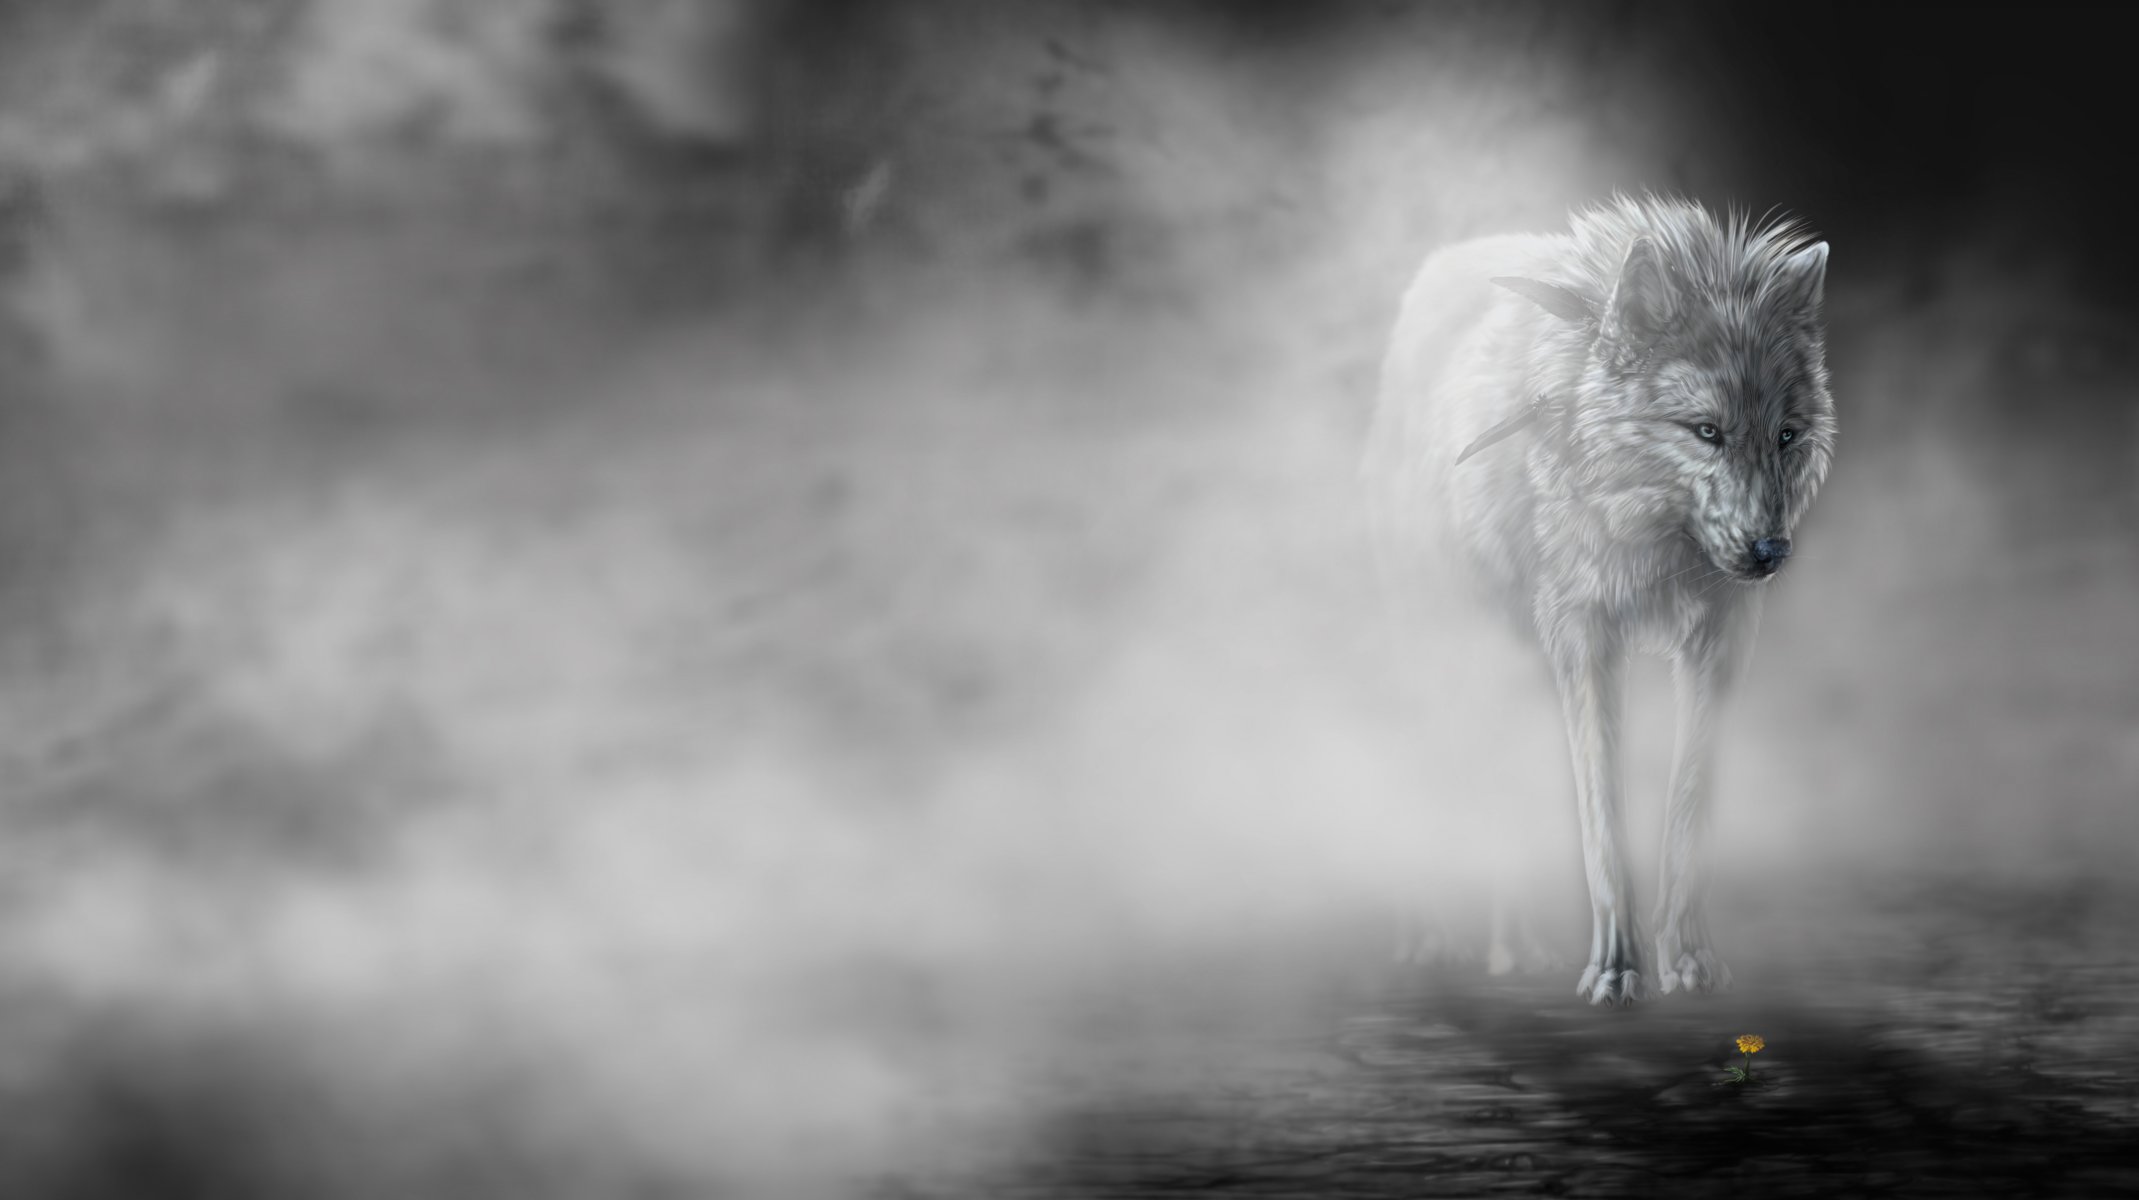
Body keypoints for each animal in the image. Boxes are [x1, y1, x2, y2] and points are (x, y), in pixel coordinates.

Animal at [1363, 196, 1835, 1005]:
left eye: (1785, 435)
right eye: (1705, 431)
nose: (1769, 552)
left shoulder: (1722, 638)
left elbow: (1689, 807)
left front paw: (1688, 960)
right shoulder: (1583, 635)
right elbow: (1602, 820)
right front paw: (1616, 969)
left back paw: (1514, 948)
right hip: (1455, 658)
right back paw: (1438, 940)